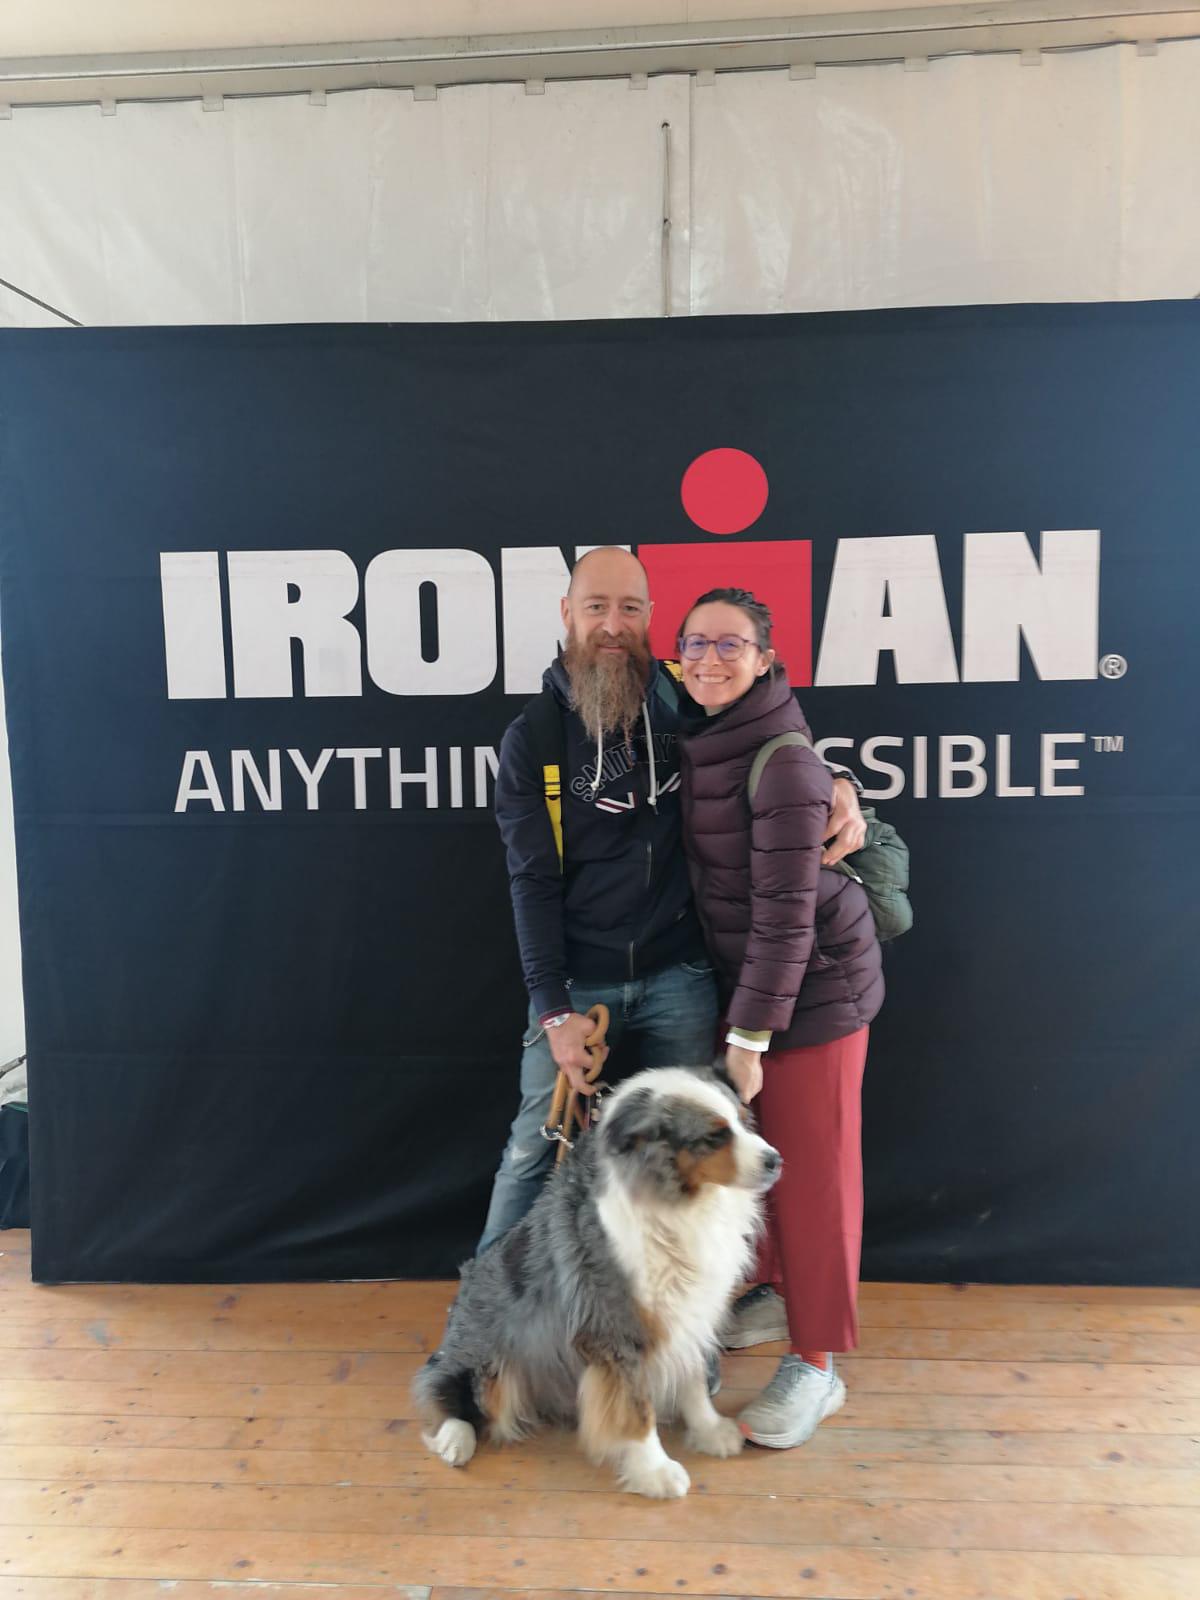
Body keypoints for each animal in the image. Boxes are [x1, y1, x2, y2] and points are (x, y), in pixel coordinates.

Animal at [412, 1065, 781, 1498]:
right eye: (714, 1136)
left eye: (743, 1120)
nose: (776, 1160)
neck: (679, 1202)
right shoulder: (613, 1327)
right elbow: (637, 1408)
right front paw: (655, 1472)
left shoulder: (687, 1312)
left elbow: (691, 1378)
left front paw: (709, 1431)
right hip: (487, 1361)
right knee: (446, 1388)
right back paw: (455, 1441)